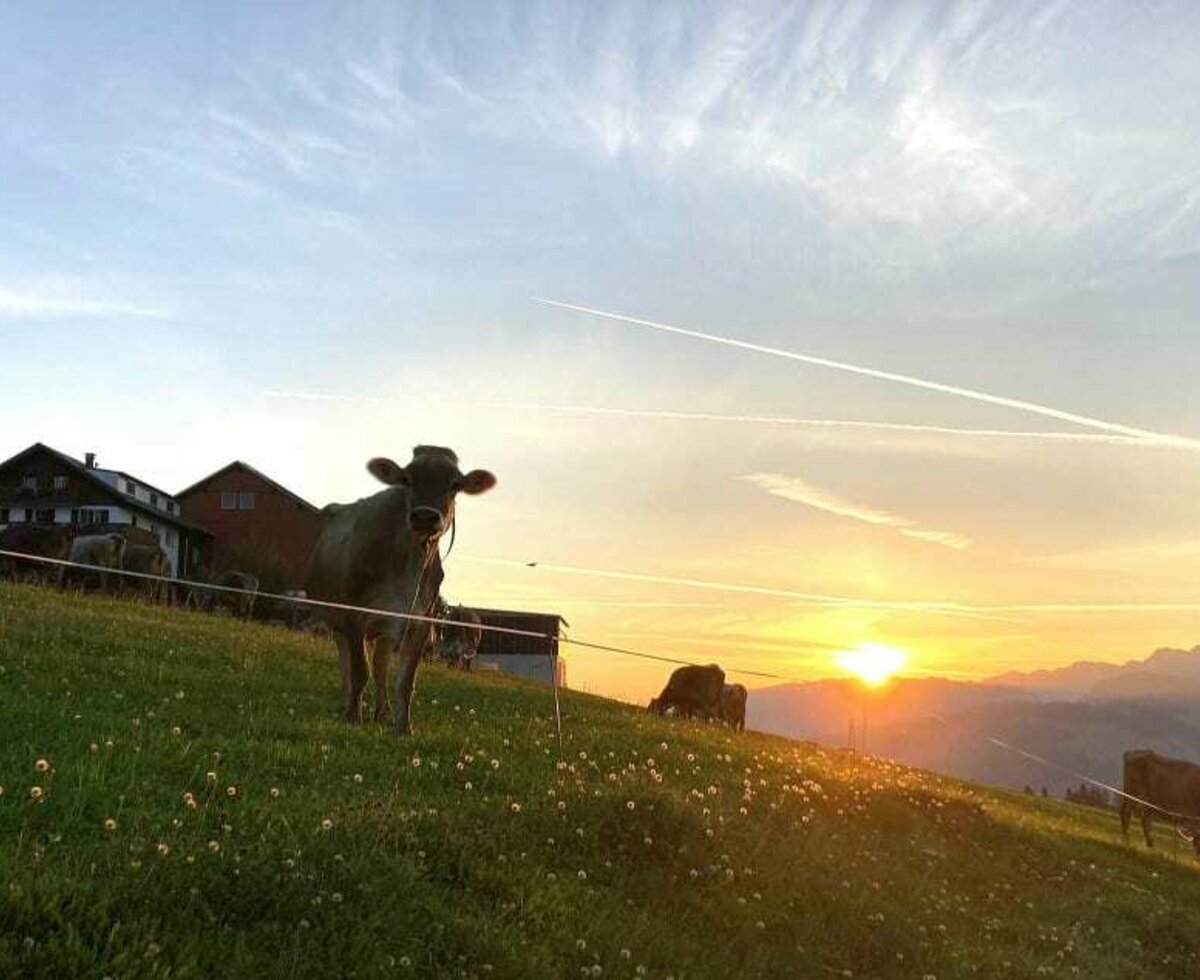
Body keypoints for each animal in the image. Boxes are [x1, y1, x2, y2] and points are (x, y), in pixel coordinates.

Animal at [309, 446, 501, 729]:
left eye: (455, 484)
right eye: (407, 479)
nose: (425, 516)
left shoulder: (421, 622)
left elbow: (405, 681)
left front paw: (403, 727)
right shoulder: (355, 614)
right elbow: (359, 671)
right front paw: (354, 718)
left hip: (385, 630)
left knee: (380, 663)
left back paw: (382, 711)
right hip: (337, 620)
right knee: (346, 659)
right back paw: (346, 706)